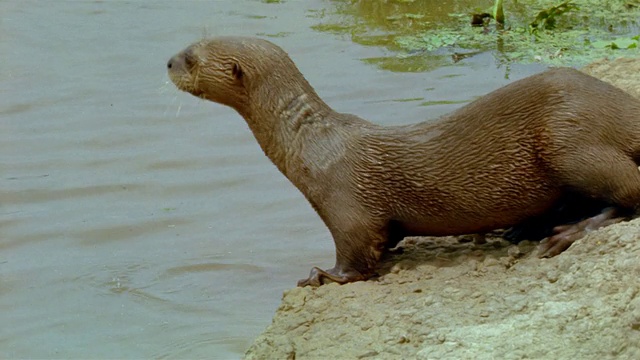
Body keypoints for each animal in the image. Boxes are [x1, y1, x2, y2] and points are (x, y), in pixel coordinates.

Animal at [166, 37, 640, 286]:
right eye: (188, 45)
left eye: (191, 57)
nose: (167, 60)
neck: (311, 144)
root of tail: (618, 103)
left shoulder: (345, 204)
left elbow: (355, 254)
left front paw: (323, 274)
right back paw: (523, 228)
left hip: (569, 140)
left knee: (628, 190)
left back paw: (569, 232)